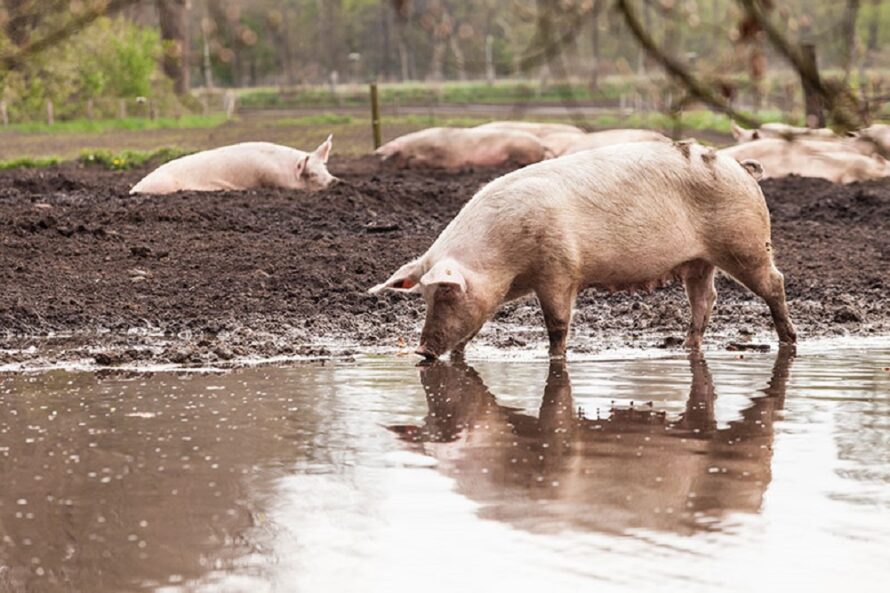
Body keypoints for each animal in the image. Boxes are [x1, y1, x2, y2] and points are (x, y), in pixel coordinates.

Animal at [370, 141, 796, 358]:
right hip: (698, 261)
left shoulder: (559, 270)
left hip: (745, 244)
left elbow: (558, 325)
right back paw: (684, 346)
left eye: (446, 292)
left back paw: (789, 339)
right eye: (424, 296)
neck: (506, 261)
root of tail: (741, 166)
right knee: (705, 299)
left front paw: (556, 358)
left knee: (775, 282)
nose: (422, 351)